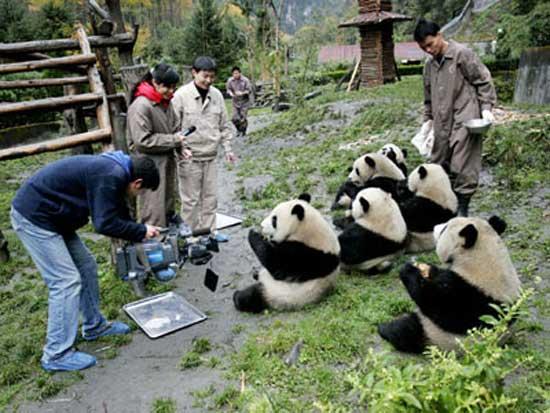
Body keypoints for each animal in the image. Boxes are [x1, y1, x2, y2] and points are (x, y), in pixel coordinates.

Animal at [380, 214, 520, 352]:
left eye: (444, 229)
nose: (435, 226)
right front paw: (428, 270)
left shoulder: (470, 294)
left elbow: (437, 303)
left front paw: (408, 270)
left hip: (435, 335)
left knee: (408, 331)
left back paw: (385, 328)